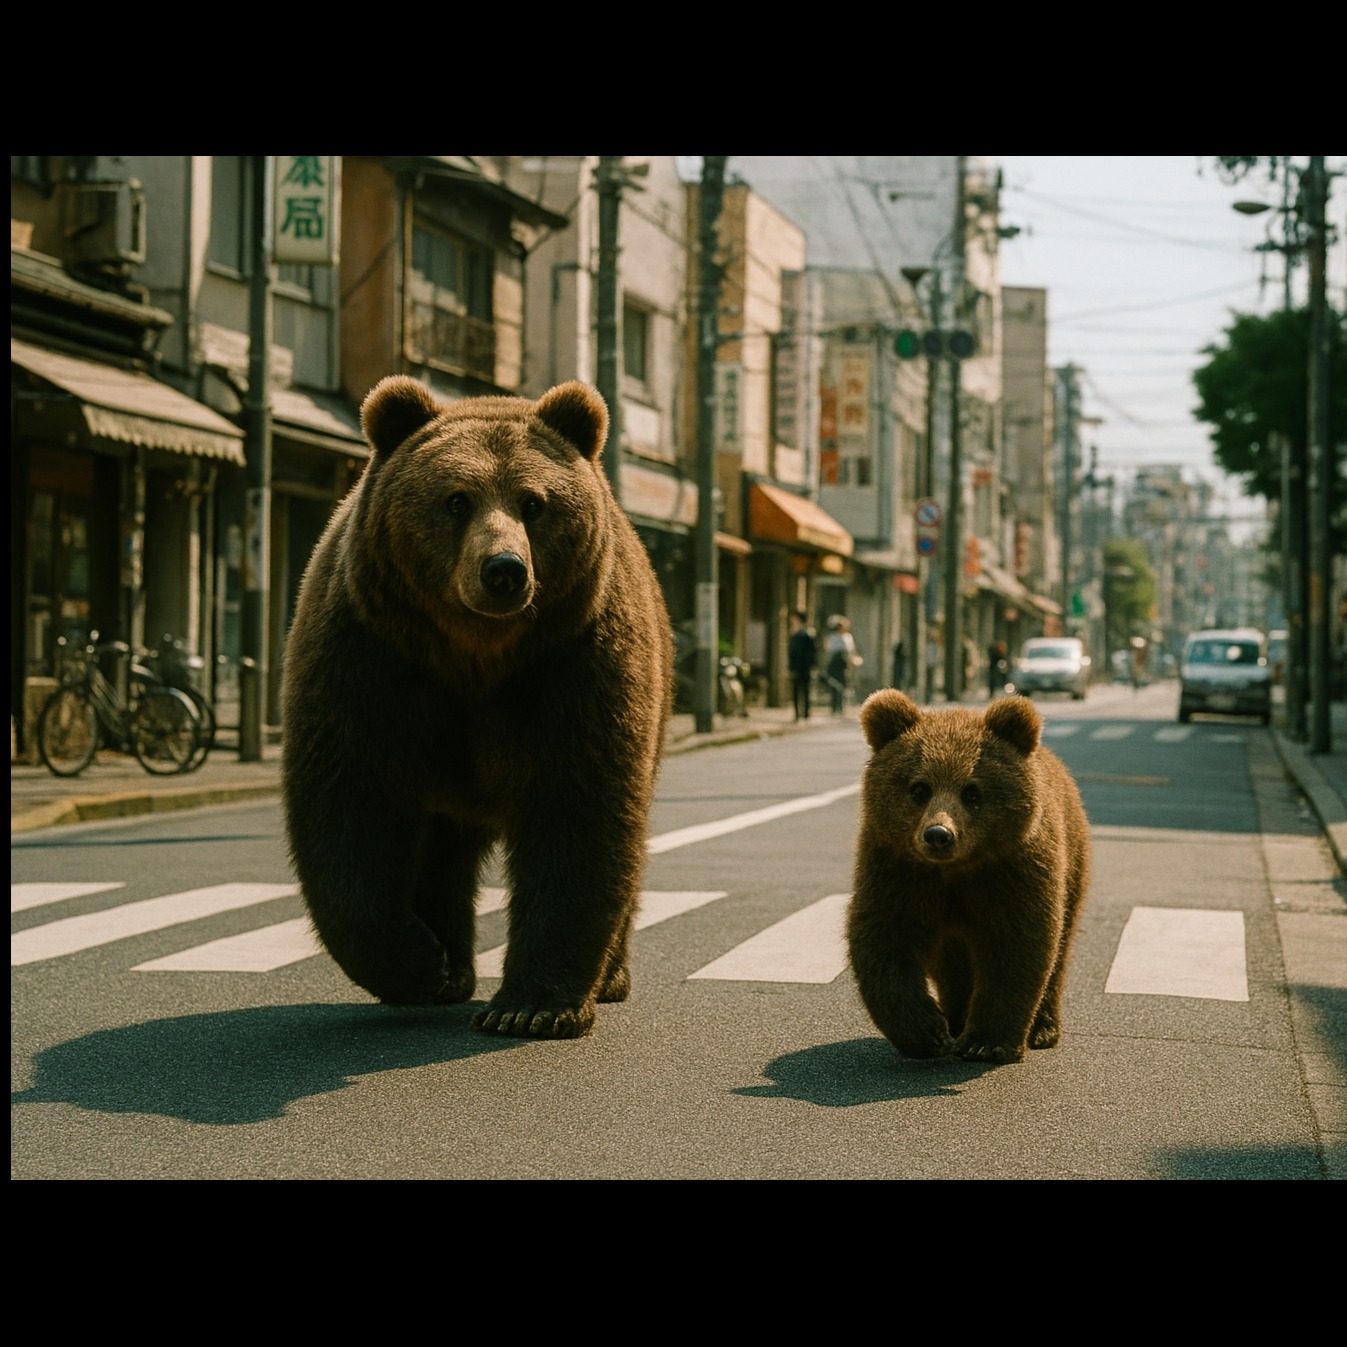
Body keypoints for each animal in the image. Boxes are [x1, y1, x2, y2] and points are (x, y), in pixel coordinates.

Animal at [280, 375, 673, 1039]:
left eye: (534, 503)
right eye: (456, 500)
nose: (504, 571)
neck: (474, 654)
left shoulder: (574, 663)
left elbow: (579, 810)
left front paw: (531, 1006)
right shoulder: (370, 659)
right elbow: (347, 803)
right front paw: (416, 960)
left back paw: (610, 976)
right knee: (442, 851)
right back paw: (450, 968)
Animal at [846, 689, 1090, 1064]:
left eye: (972, 792)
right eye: (919, 789)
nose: (938, 835)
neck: (957, 869)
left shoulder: (1014, 869)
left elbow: (1018, 943)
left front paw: (986, 1042)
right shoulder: (898, 868)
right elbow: (885, 935)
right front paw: (927, 1032)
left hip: (1073, 864)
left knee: (1060, 947)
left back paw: (1042, 1028)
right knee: (954, 963)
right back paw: (957, 1018)